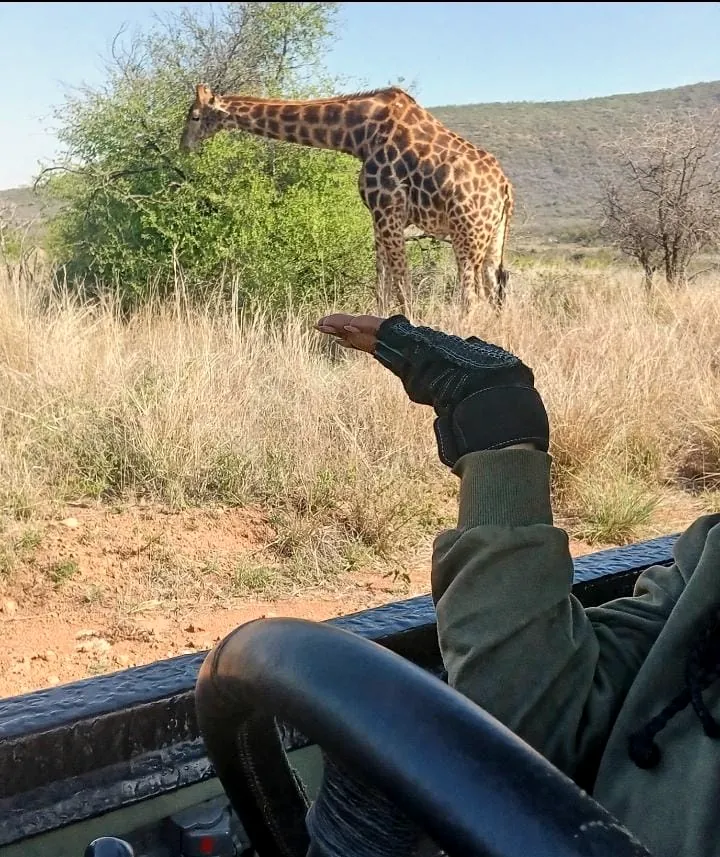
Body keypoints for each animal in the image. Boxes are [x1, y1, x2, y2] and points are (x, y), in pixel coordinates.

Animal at [180, 84, 514, 314]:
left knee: (471, 298)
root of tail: (505, 188)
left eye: (194, 116)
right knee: (494, 290)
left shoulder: (388, 209)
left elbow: (402, 283)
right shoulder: (379, 215)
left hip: (466, 235)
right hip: (492, 237)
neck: (357, 135)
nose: (184, 147)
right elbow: (382, 283)